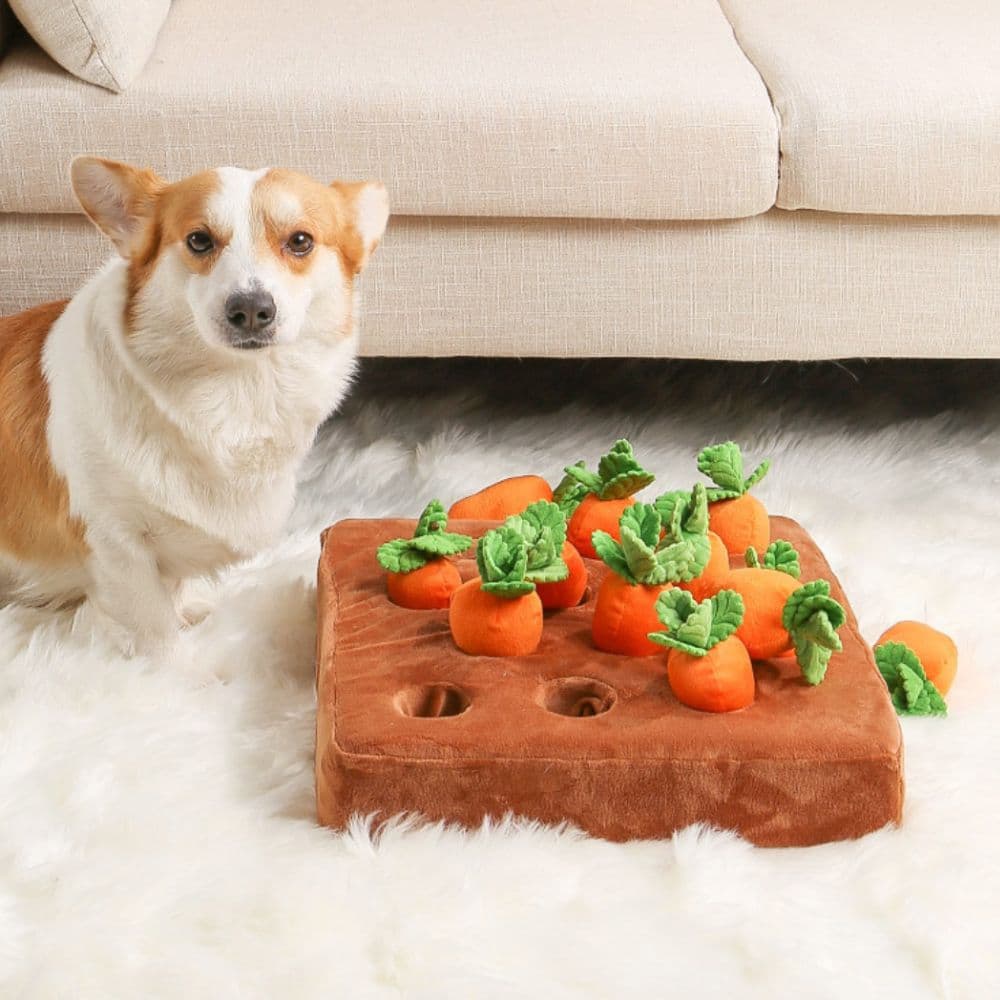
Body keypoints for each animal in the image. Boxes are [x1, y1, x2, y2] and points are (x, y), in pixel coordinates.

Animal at [0, 157, 388, 656]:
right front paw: (166, 666)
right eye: (199, 240)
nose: (251, 310)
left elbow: (175, 590)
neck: (236, 391)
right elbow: (153, 630)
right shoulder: (115, 541)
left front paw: (189, 614)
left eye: (300, 241)